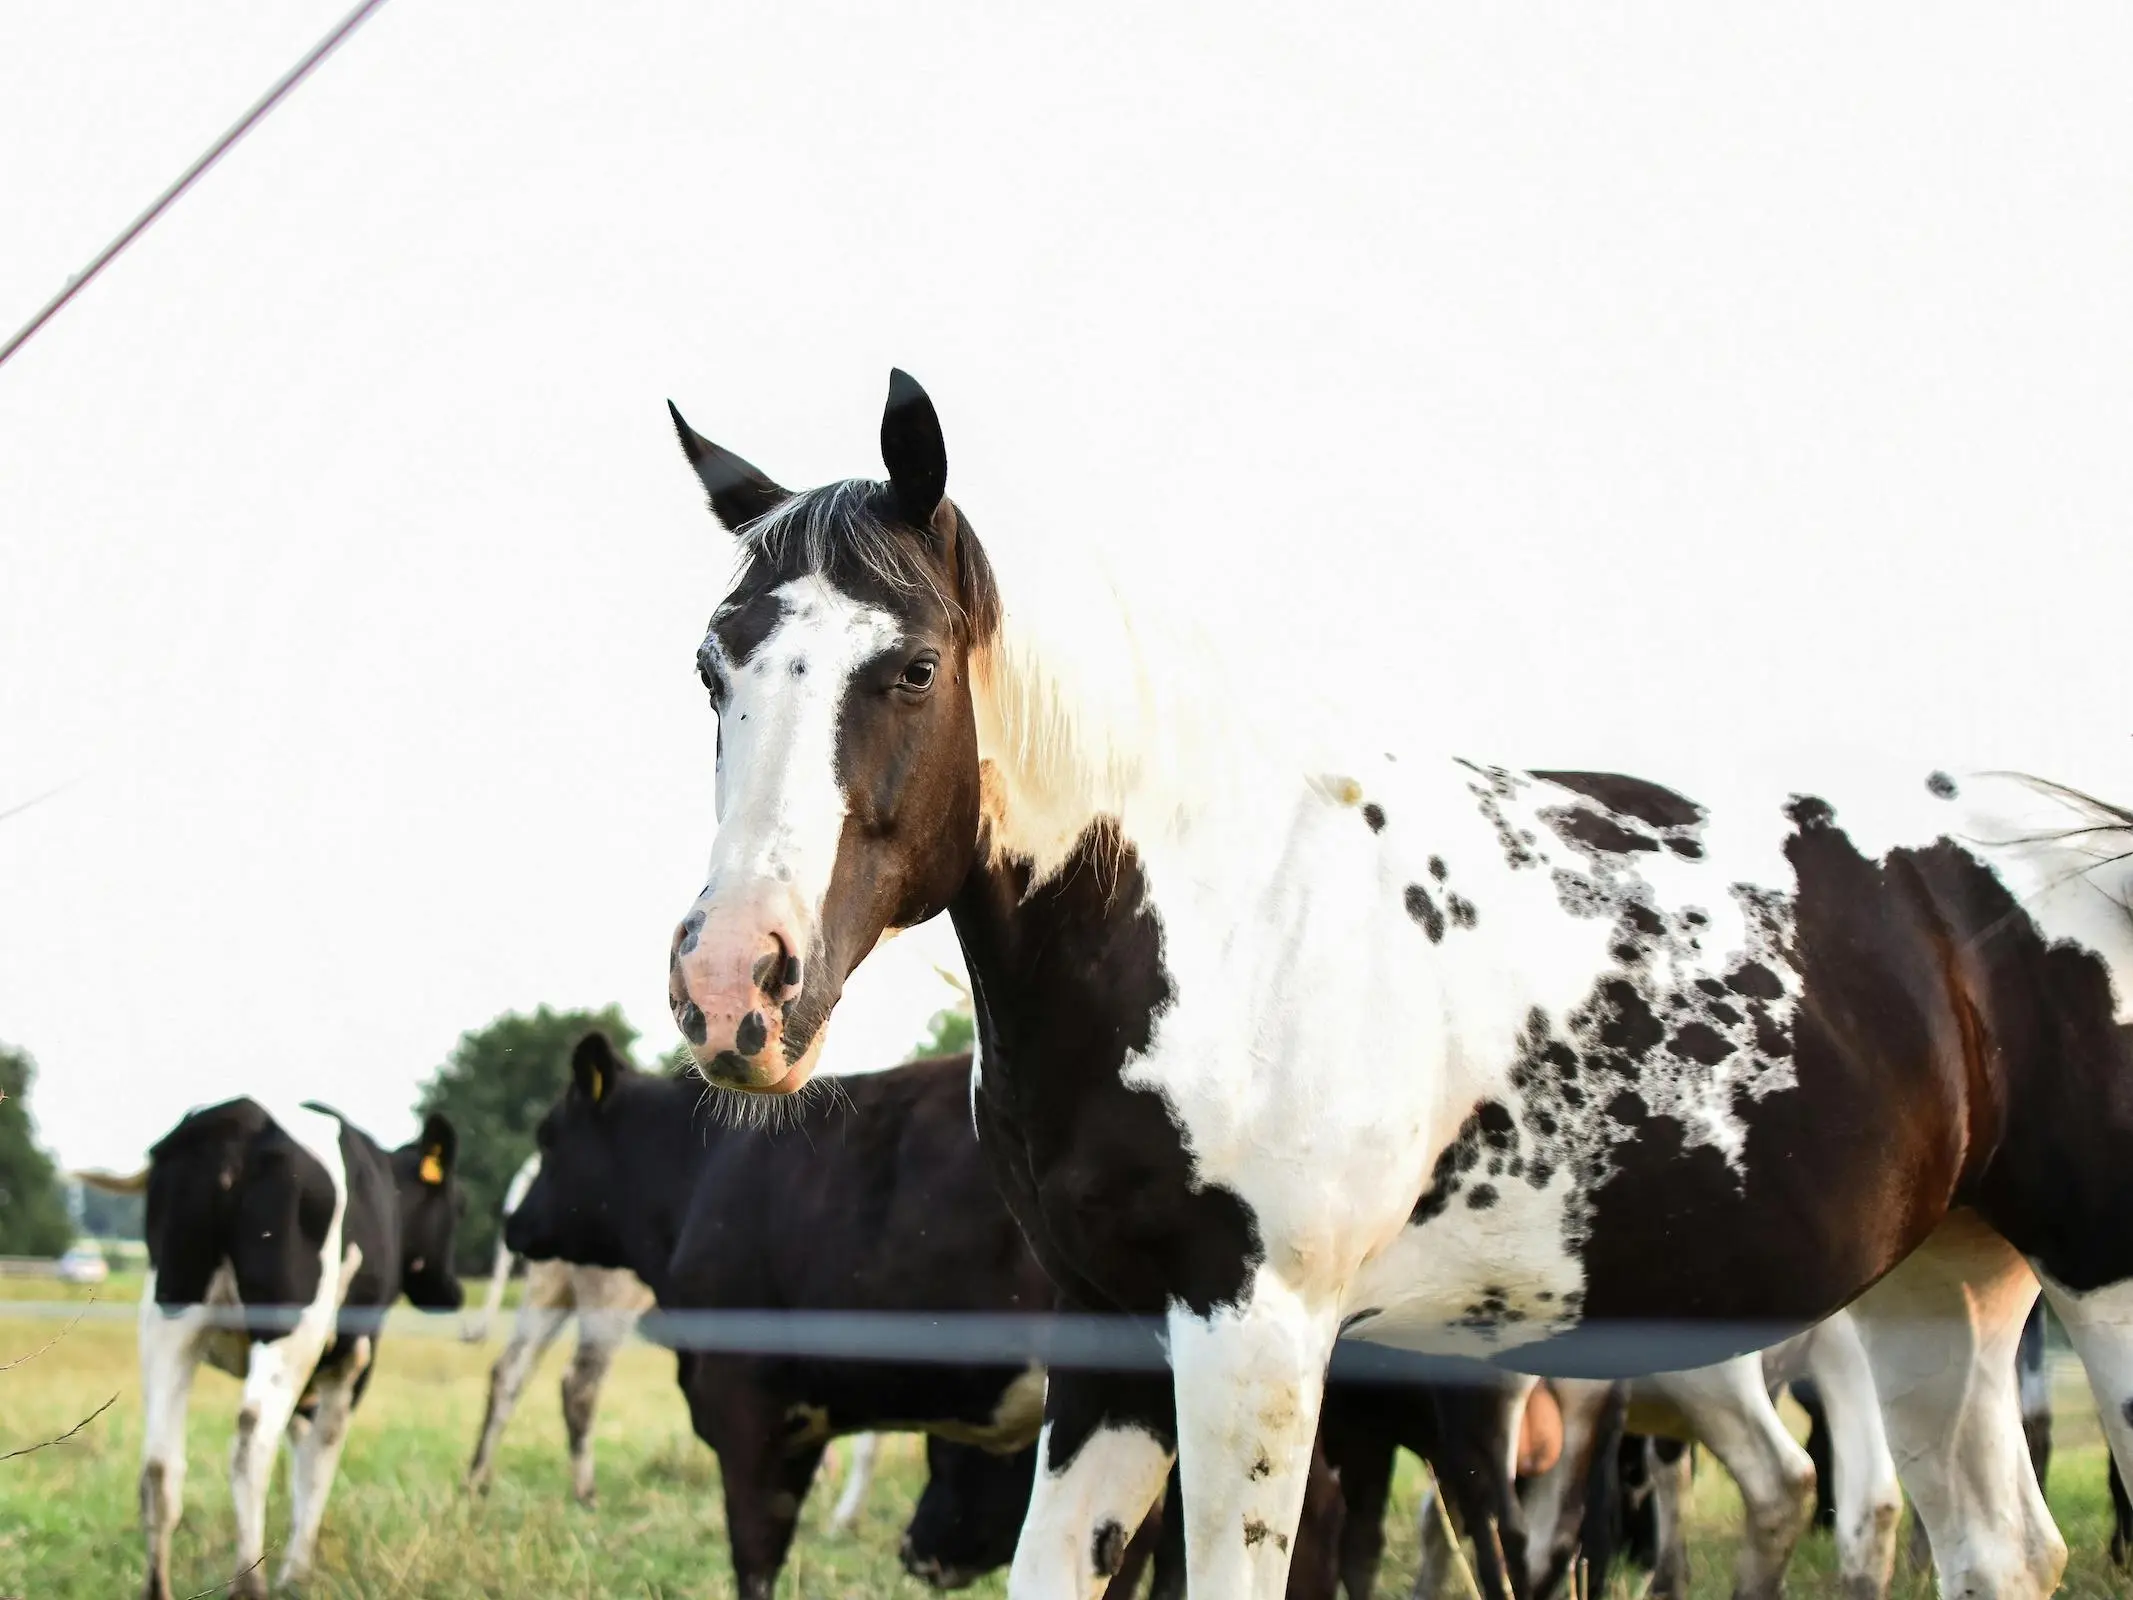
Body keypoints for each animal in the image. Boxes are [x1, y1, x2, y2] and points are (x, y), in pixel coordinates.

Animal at [89, 1100, 464, 1600]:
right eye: (459, 1207)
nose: (453, 1292)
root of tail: (238, 1120)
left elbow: (302, 1448)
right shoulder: (352, 1360)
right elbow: (321, 1455)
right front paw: (298, 1572)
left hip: (169, 1316)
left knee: (159, 1465)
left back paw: (158, 1587)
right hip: (291, 1326)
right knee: (251, 1442)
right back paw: (251, 1584)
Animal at [656, 369, 2133, 1595]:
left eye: (909, 667)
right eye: (713, 666)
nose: (733, 984)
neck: (1221, 919)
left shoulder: (1257, 1340)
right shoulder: (1109, 1337)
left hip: (2097, 1284)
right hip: (1940, 1292)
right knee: (1998, 1548)